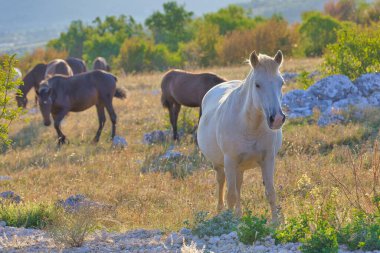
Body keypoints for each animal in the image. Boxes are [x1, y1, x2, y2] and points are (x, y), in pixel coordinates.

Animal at [197, 50, 286, 223]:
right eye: (257, 84)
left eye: (281, 83)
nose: (277, 119)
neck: (250, 126)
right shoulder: (230, 161)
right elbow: (230, 196)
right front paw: (229, 223)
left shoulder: (268, 159)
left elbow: (270, 192)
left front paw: (275, 222)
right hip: (220, 165)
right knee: (221, 182)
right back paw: (221, 210)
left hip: (240, 167)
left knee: (238, 185)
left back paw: (238, 215)